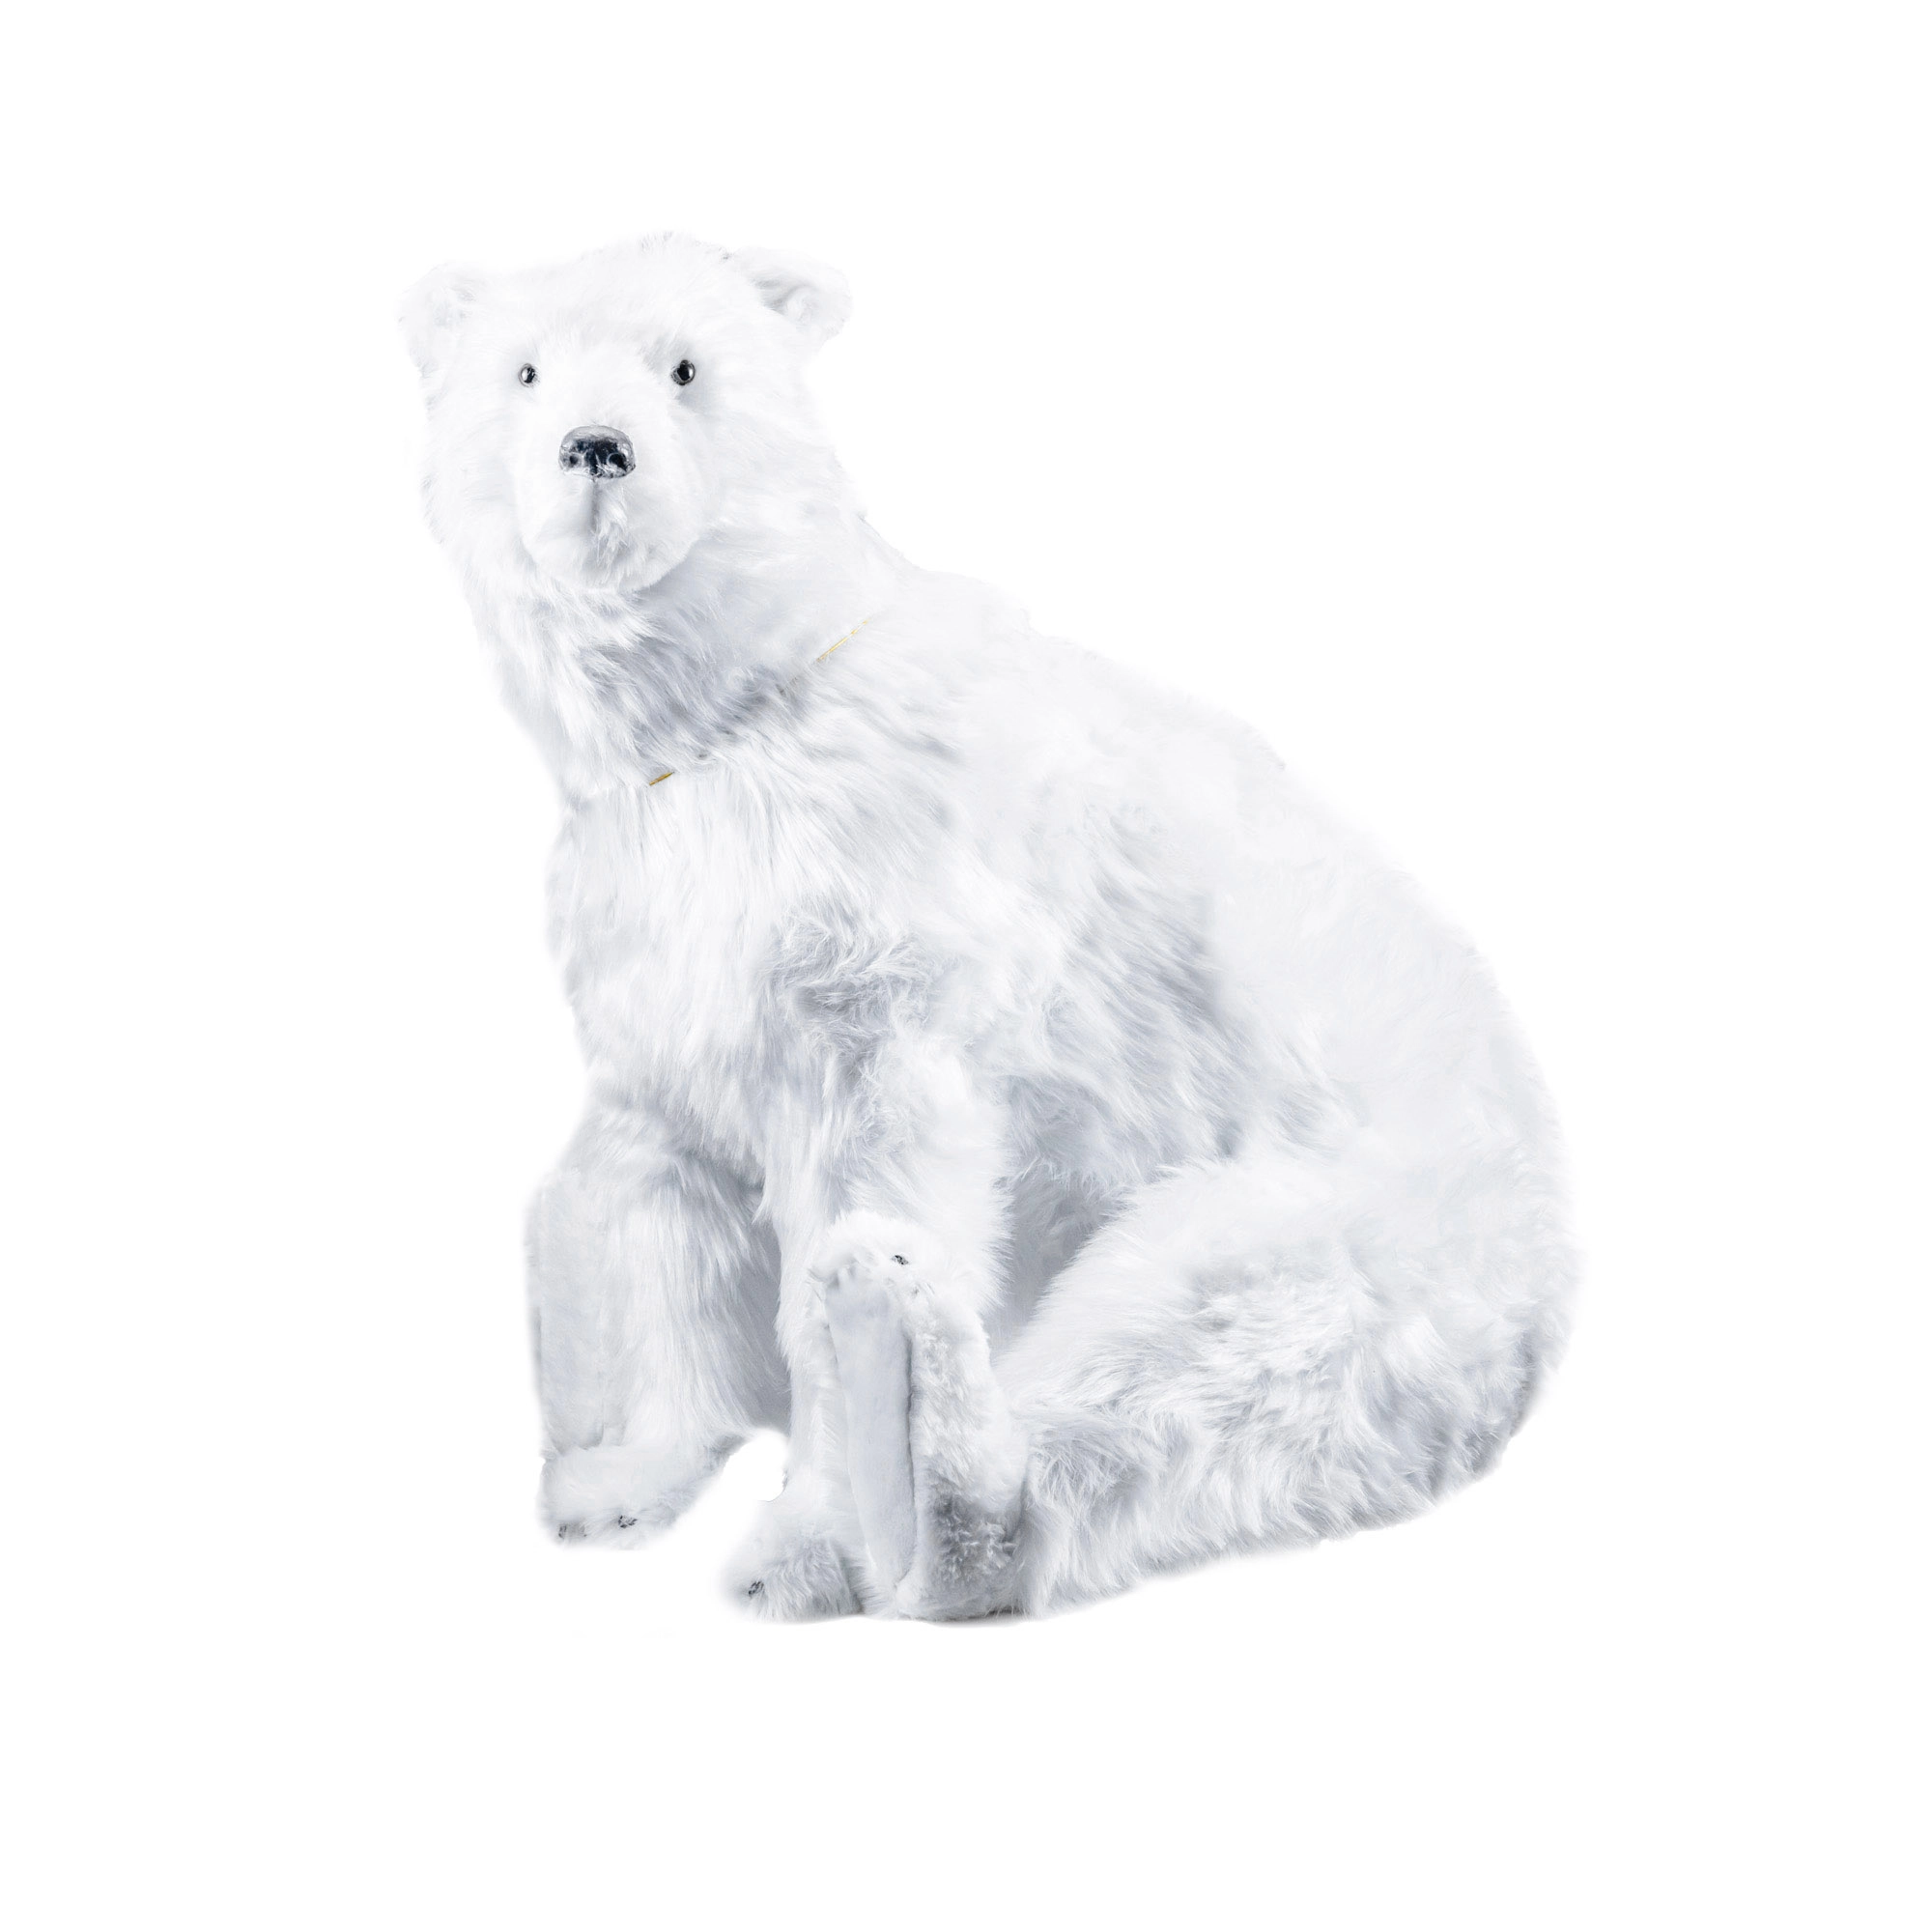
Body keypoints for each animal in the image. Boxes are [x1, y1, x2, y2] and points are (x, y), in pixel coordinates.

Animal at [401, 233, 1575, 1619]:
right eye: (524, 370)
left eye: (684, 367)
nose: (596, 448)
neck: (738, 717)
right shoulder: (660, 946)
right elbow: (660, 1210)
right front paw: (611, 1488)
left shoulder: (879, 944)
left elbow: (880, 1175)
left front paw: (807, 1528)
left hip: (1364, 1208)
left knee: (1185, 1347)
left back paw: (913, 1446)